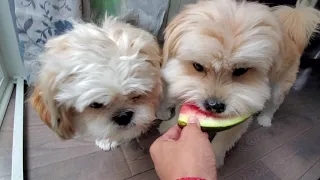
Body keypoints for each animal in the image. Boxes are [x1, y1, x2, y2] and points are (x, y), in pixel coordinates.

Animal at [158, 0, 320, 167]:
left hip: (279, 87)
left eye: (241, 70)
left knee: (273, 105)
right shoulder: (185, 88)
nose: (214, 106)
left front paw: (214, 158)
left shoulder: (242, 112)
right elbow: (179, 110)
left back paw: (265, 119)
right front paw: (169, 125)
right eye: (198, 66)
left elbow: (223, 140)